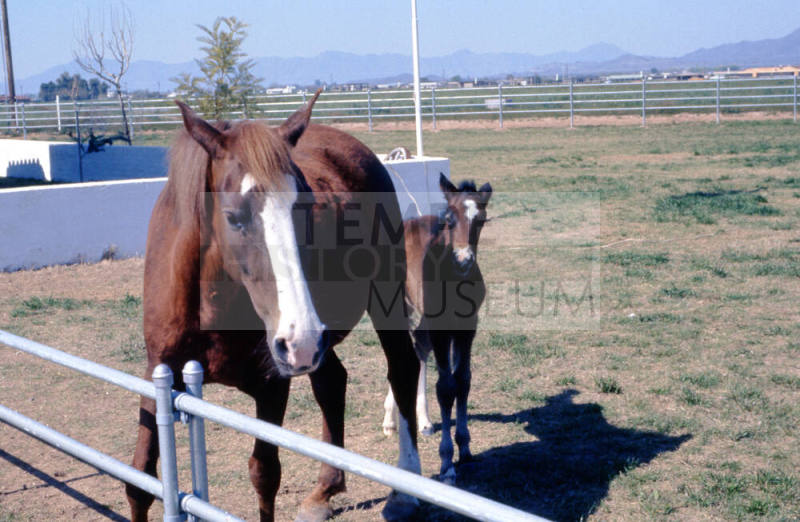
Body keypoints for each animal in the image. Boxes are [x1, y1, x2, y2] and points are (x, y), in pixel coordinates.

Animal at [126, 92, 422, 522]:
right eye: (233, 217)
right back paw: (324, 490)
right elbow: (140, 480)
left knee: (402, 368)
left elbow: (264, 474)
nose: (299, 339)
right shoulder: (158, 375)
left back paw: (406, 489)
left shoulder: (271, 385)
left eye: (306, 208)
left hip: (378, 301)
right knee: (332, 383)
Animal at [382, 174, 492, 485]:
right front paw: (446, 463)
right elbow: (445, 387)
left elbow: (463, 380)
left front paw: (464, 447)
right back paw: (390, 420)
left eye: (481, 220)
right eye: (449, 220)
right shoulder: (442, 329)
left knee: (418, 349)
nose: (464, 260)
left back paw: (425, 421)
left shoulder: (468, 327)